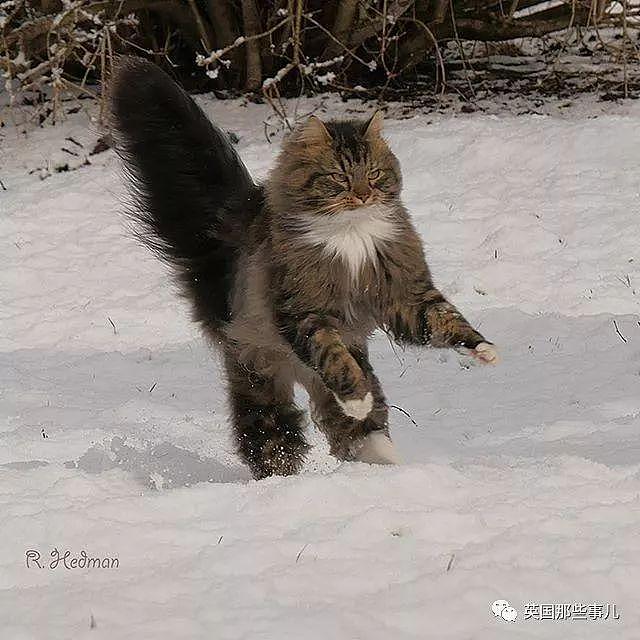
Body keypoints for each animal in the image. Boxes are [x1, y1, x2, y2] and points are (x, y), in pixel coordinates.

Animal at [111, 57, 500, 480]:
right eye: (340, 177)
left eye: (374, 174)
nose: (363, 195)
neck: (351, 235)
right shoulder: (303, 310)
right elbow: (332, 356)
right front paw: (354, 395)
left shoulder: (404, 291)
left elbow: (444, 319)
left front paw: (483, 350)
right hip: (258, 376)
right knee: (273, 438)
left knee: (357, 428)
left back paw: (386, 459)